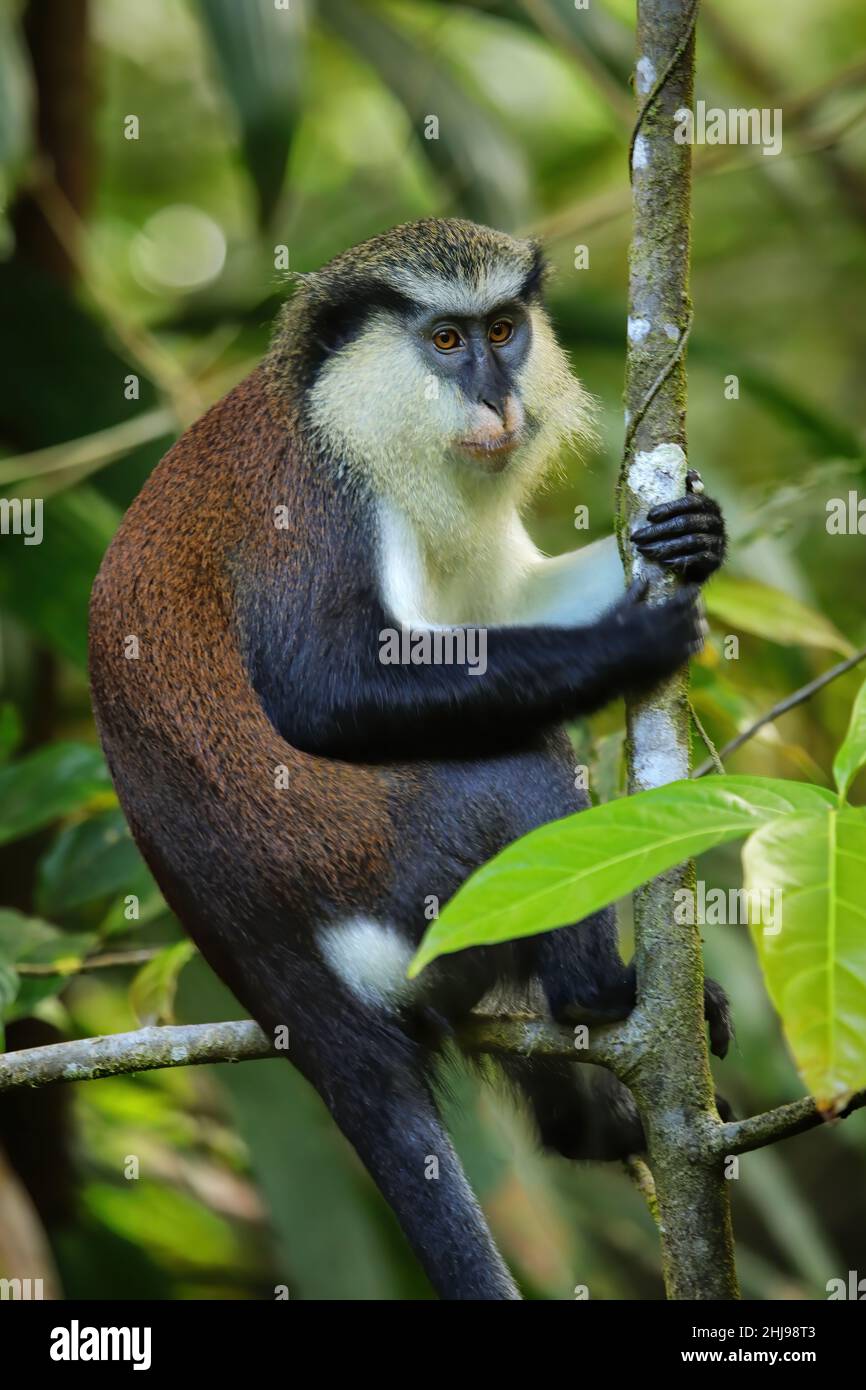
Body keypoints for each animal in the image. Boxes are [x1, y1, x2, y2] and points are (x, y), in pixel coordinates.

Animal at [91, 216, 733, 1301]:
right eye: (444, 340)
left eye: (503, 329)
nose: (496, 396)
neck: (342, 414)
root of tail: (293, 993)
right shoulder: (311, 507)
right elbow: (323, 689)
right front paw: (630, 645)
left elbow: (503, 599)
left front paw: (695, 534)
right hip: (412, 895)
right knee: (520, 764)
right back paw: (599, 996)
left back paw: (592, 1116)